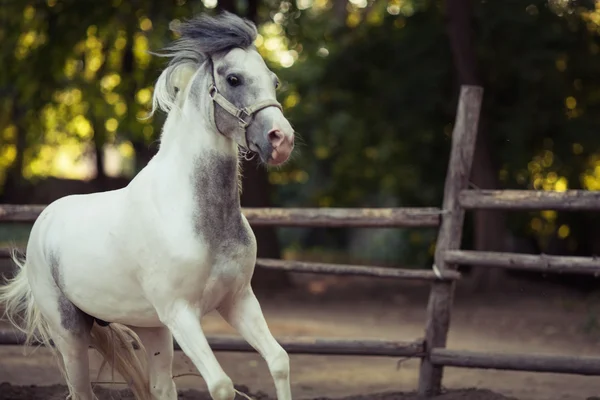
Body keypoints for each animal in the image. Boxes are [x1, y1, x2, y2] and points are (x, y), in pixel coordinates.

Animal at [0, 11, 296, 400]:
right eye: (234, 79)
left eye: (274, 82)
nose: (282, 140)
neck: (197, 216)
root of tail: (44, 221)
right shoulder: (181, 313)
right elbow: (221, 385)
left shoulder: (238, 301)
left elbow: (278, 360)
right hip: (71, 333)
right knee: (82, 389)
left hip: (152, 328)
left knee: (160, 387)